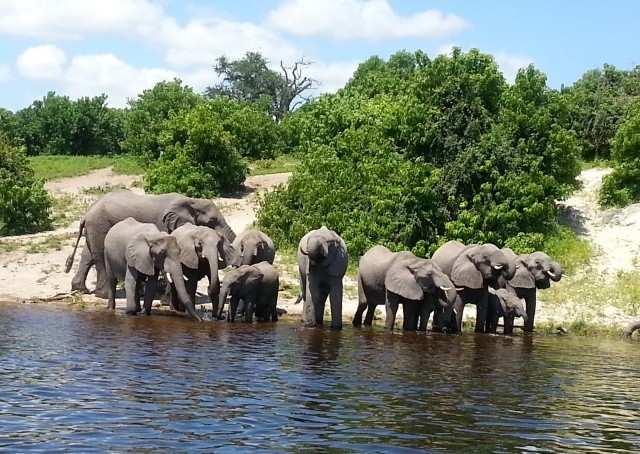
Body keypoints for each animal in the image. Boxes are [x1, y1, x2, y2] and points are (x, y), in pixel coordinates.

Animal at [63, 190, 235, 300]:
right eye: (212, 221)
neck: (191, 200)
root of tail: (86, 214)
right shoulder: (164, 225)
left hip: (94, 227)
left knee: (88, 254)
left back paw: (81, 289)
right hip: (99, 226)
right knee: (98, 255)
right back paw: (103, 295)